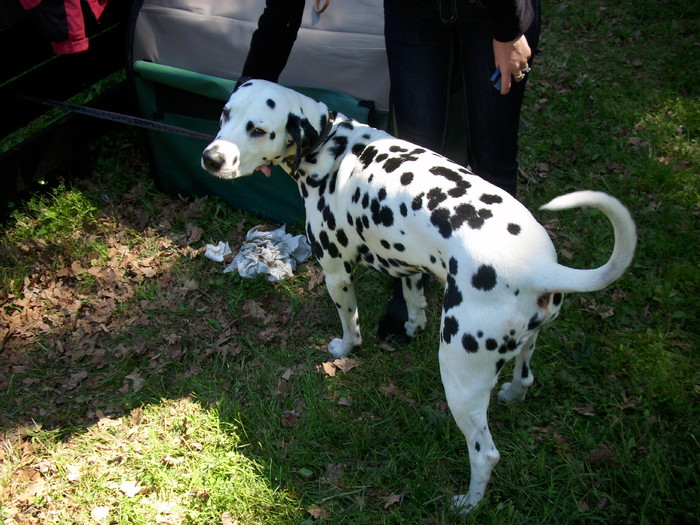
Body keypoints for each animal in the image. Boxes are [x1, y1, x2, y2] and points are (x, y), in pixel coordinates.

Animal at [200, 79, 636, 512]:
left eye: (259, 129)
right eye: (225, 113)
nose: (211, 158)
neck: (331, 145)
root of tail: (538, 266)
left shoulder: (336, 272)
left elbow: (350, 323)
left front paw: (344, 348)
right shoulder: (409, 268)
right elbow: (414, 306)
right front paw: (409, 329)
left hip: (460, 377)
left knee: (485, 453)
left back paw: (468, 503)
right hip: (524, 345)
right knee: (525, 376)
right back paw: (513, 394)